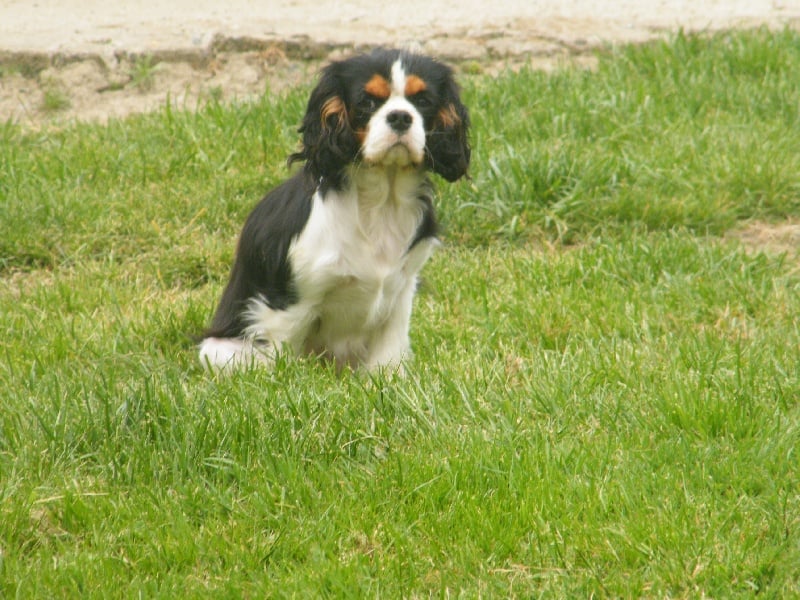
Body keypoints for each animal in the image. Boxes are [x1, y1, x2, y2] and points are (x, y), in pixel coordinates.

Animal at [199, 48, 470, 372]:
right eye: (367, 102)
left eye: (423, 101)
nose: (401, 117)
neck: (381, 197)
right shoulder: (293, 301)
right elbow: (283, 353)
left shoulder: (403, 289)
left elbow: (388, 356)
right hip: (217, 349)